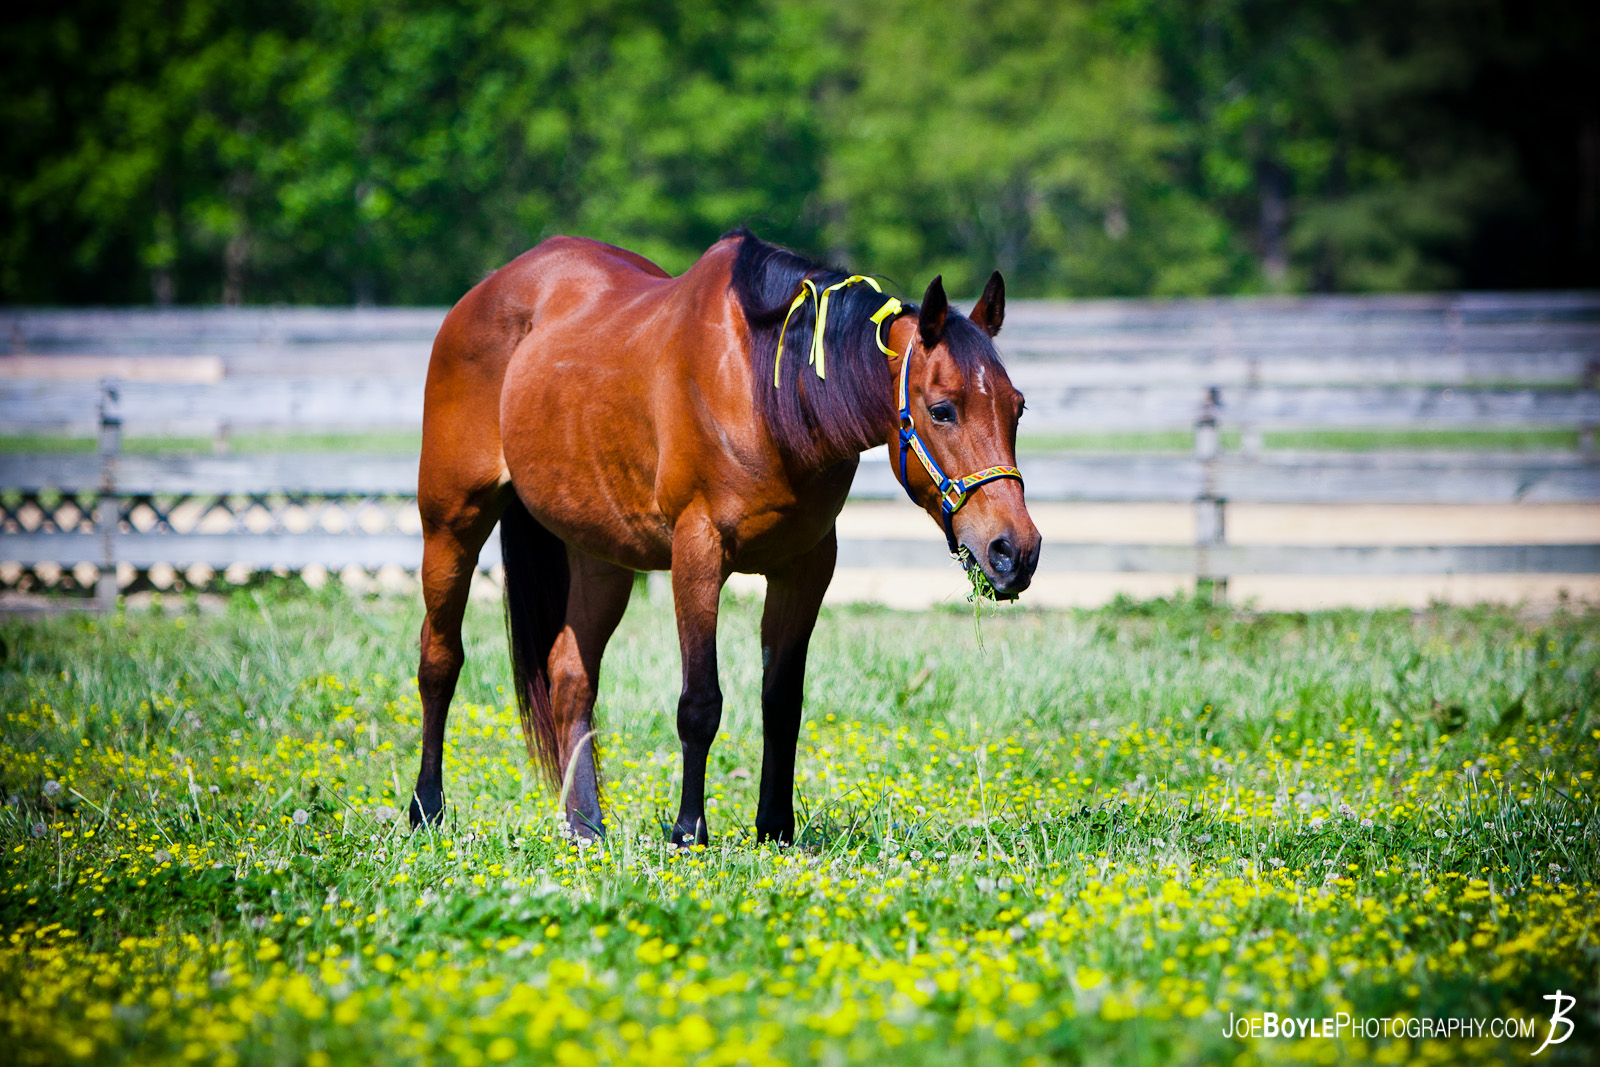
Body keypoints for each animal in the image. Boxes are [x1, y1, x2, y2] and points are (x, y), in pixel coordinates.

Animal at [408, 229, 1040, 846]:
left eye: (1018, 408)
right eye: (942, 409)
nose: (1016, 552)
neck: (766, 391)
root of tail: (488, 290)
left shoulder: (806, 567)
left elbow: (782, 701)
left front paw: (776, 829)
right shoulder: (698, 553)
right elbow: (700, 702)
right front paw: (689, 832)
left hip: (600, 556)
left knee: (570, 677)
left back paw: (585, 826)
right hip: (451, 526)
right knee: (439, 661)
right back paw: (426, 811)